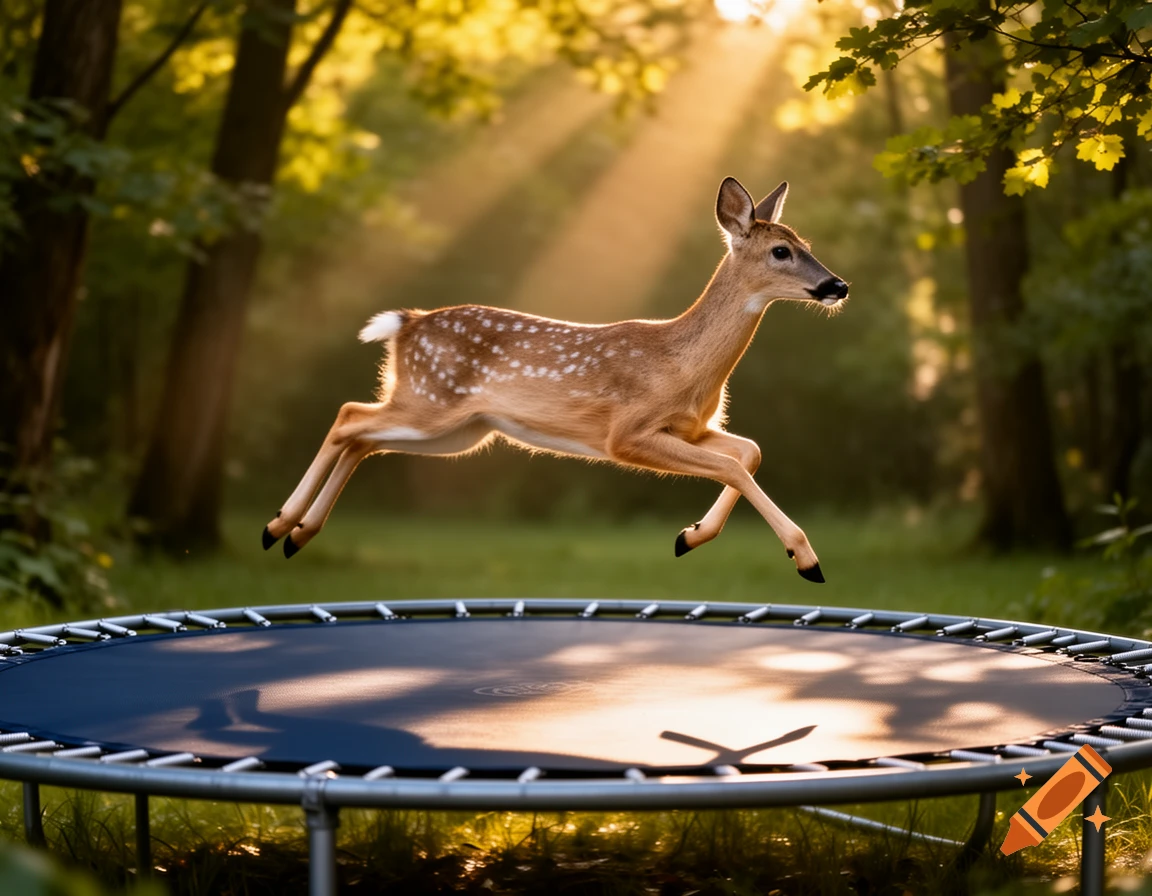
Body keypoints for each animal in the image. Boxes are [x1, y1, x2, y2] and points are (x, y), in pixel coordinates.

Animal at [262, 177, 849, 581]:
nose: (837, 286)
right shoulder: (626, 434)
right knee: (348, 418)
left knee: (363, 437)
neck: (682, 365)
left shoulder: (691, 428)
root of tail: (407, 325)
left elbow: (748, 452)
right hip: (432, 402)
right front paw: (806, 559)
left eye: (806, 243)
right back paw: (278, 526)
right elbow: (734, 466)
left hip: (458, 431)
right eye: (781, 251)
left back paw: (296, 535)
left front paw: (689, 536)